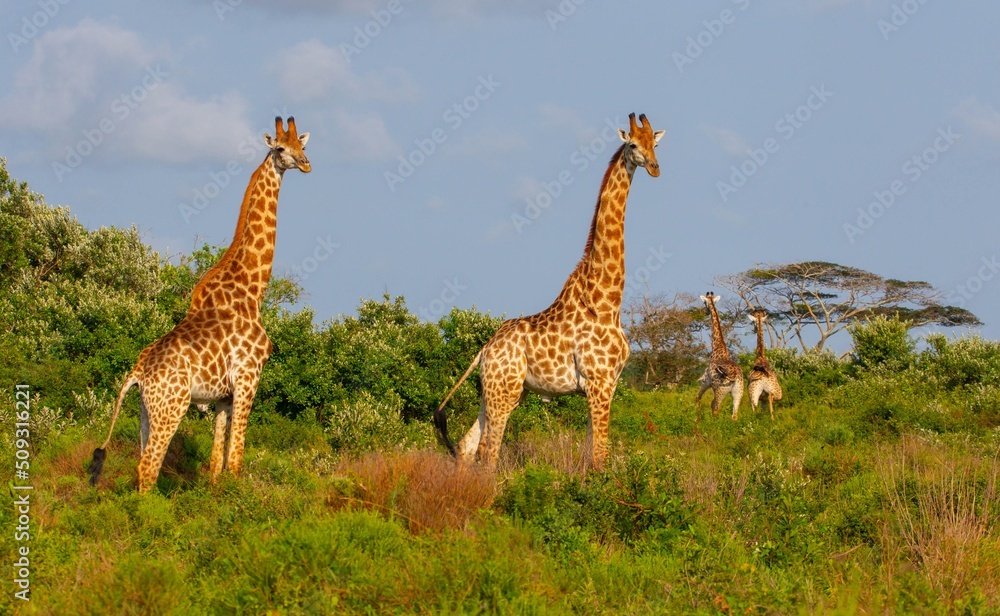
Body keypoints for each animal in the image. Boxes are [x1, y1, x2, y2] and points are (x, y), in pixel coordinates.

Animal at [88, 116, 311, 493]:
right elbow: (235, 461)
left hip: (147, 409)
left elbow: (215, 464)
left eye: (303, 145)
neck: (252, 289)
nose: (307, 164)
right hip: (172, 406)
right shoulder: (249, 378)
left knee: (141, 462)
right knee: (148, 466)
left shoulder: (222, 395)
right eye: (281, 148)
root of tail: (136, 373)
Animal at [434, 113, 664, 472]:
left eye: (654, 143)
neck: (607, 300)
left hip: (498, 391)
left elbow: (591, 453)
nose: (654, 167)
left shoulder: (605, 385)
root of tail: (484, 350)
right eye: (632, 145)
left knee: (466, 445)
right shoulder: (599, 383)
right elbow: (600, 455)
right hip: (505, 391)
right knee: (489, 451)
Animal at [695, 292, 744, 420]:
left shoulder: (706, 380)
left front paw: (695, 416)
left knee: (715, 407)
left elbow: (698, 397)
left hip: (721, 391)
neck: (717, 347)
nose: (705, 312)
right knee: (734, 415)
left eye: (704, 302)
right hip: (738, 392)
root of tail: (734, 377)